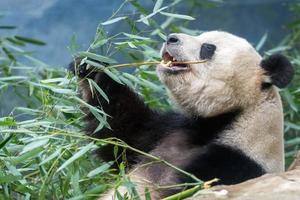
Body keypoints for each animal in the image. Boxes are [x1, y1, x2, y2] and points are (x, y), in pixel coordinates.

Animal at [71, 30, 296, 199]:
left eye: (208, 48)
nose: (170, 38)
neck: (228, 120)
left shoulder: (233, 164)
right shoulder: (171, 129)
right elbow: (120, 134)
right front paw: (92, 69)